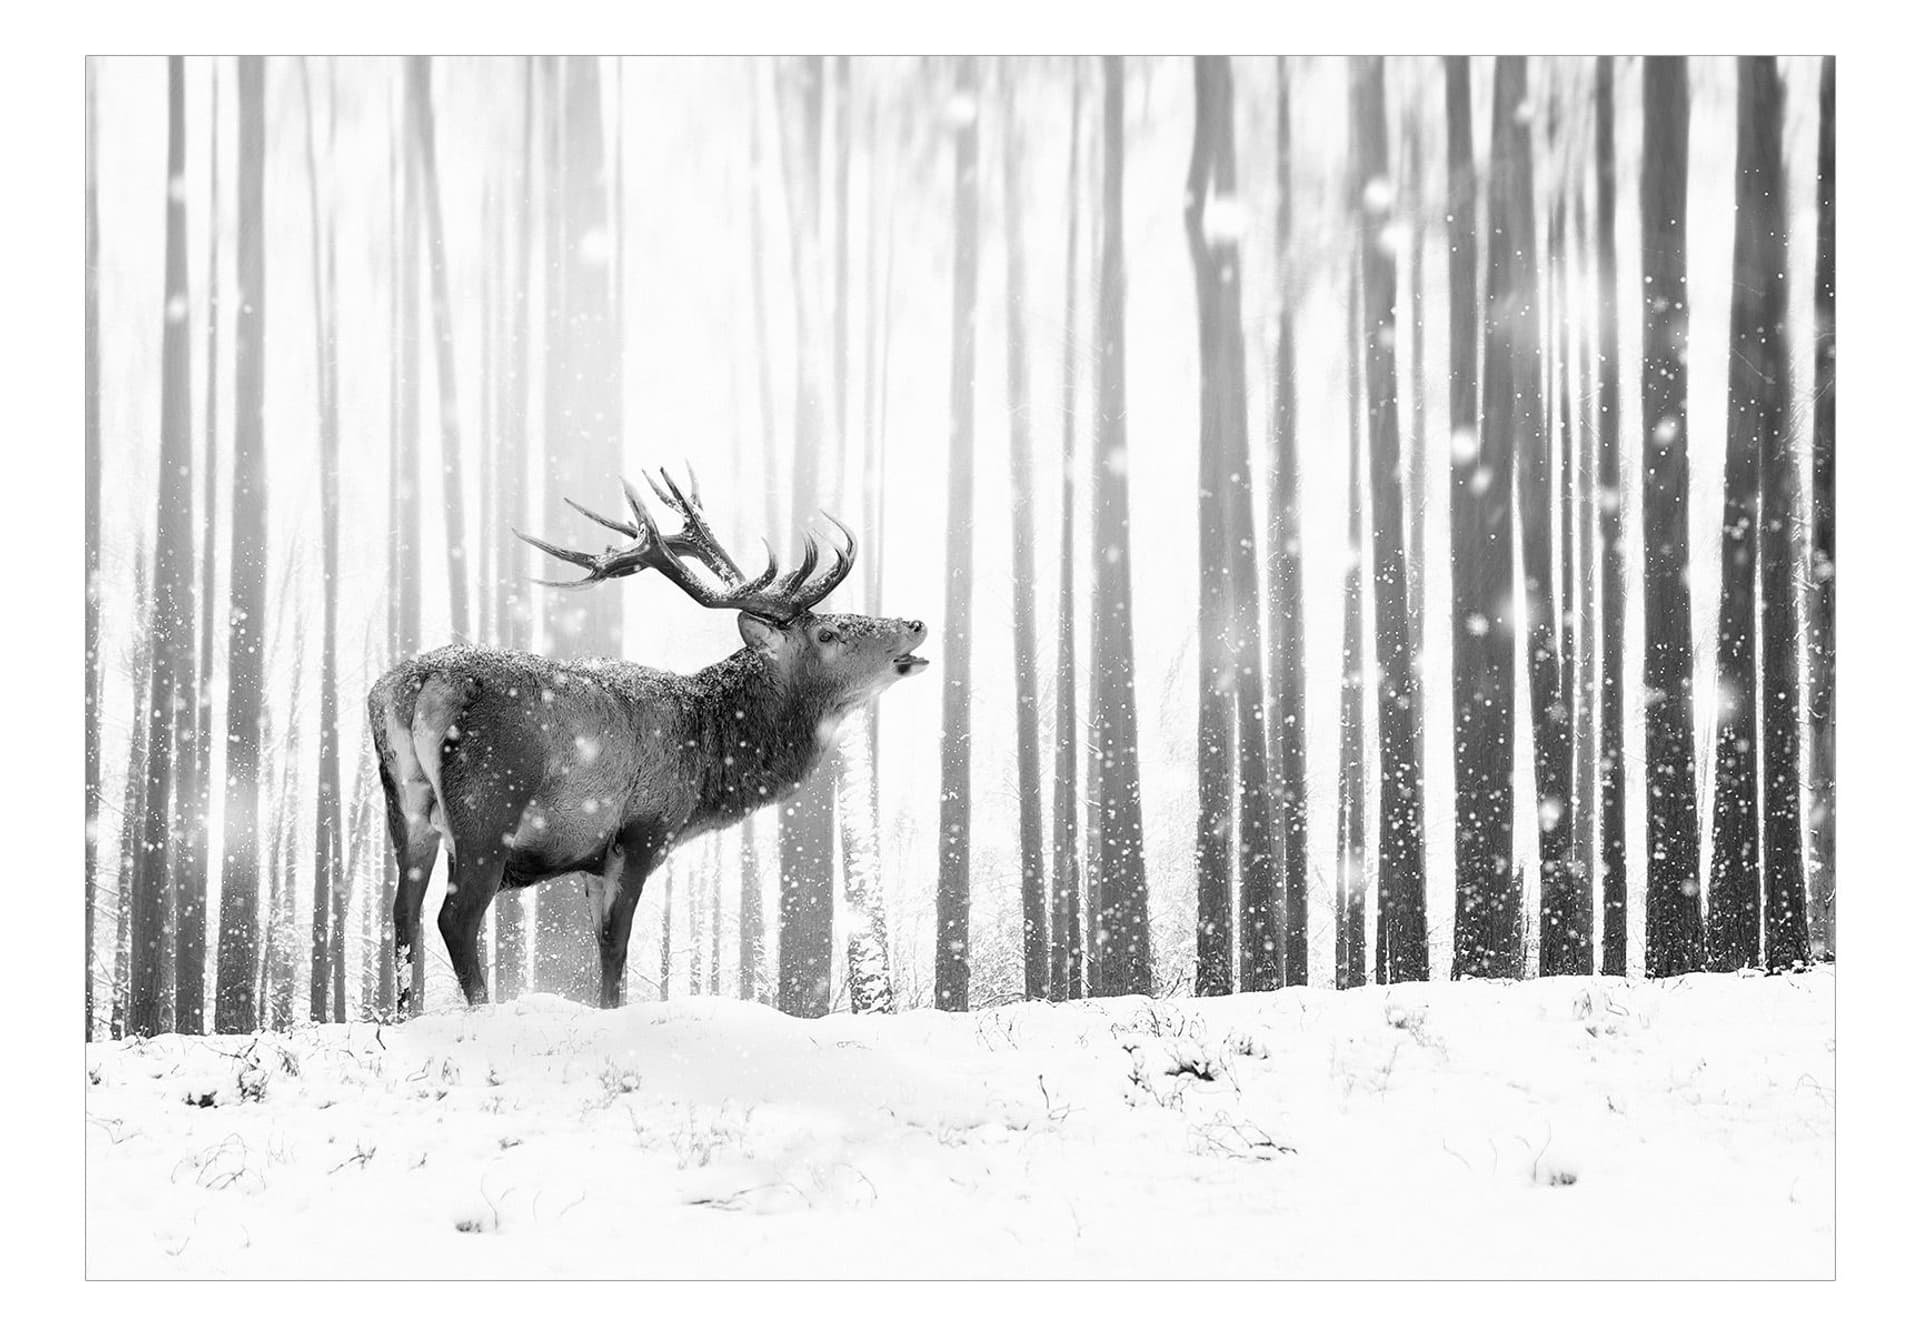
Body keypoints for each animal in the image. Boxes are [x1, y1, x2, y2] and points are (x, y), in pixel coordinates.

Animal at [368, 470, 929, 1013]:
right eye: (828, 634)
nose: (916, 623)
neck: (707, 762)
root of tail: (416, 686)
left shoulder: (591, 859)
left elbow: (601, 945)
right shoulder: (643, 830)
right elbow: (616, 945)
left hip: (406, 806)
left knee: (402, 914)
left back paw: (404, 1016)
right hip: (488, 806)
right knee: (455, 917)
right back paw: (481, 1012)